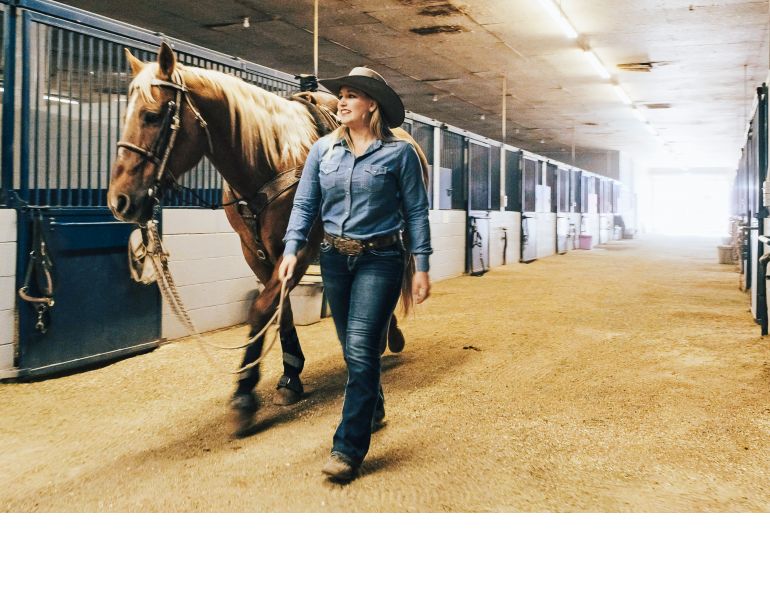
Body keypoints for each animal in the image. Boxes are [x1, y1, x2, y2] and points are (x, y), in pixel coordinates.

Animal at [107, 42, 428, 436]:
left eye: (152, 116)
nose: (120, 201)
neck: (269, 157)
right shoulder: (256, 253)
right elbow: (281, 311)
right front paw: (290, 376)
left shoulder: (300, 249)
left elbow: (260, 309)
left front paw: (244, 396)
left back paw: (387, 336)